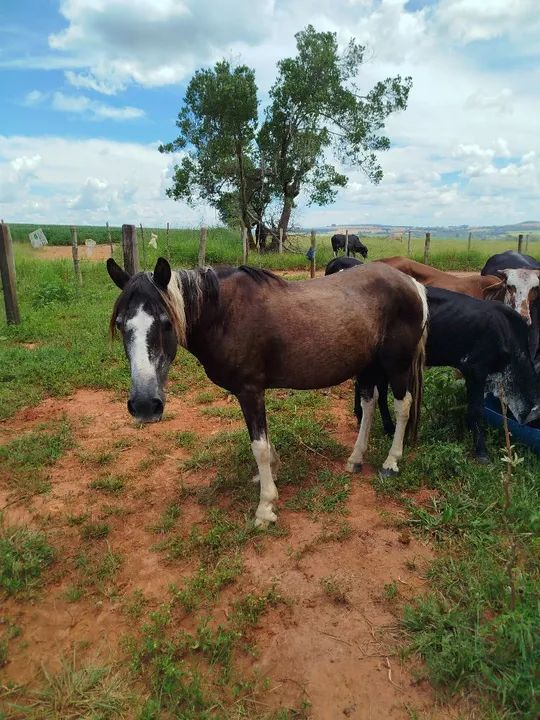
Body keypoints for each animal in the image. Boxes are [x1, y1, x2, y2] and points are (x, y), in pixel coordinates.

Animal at [107, 257, 428, 526]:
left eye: (166, 323)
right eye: (121, 324)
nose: (145, 405)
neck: (225, 314)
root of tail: (413, 284)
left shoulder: (250, 390)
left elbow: (258, 446)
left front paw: (265, 506)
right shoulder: (250, 393)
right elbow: (264, 441)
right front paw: (271, 474)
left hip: (396, 366)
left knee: (402, 406)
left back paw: (391, 462)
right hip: (368, 365)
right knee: (369, 402)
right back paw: (356, 458)